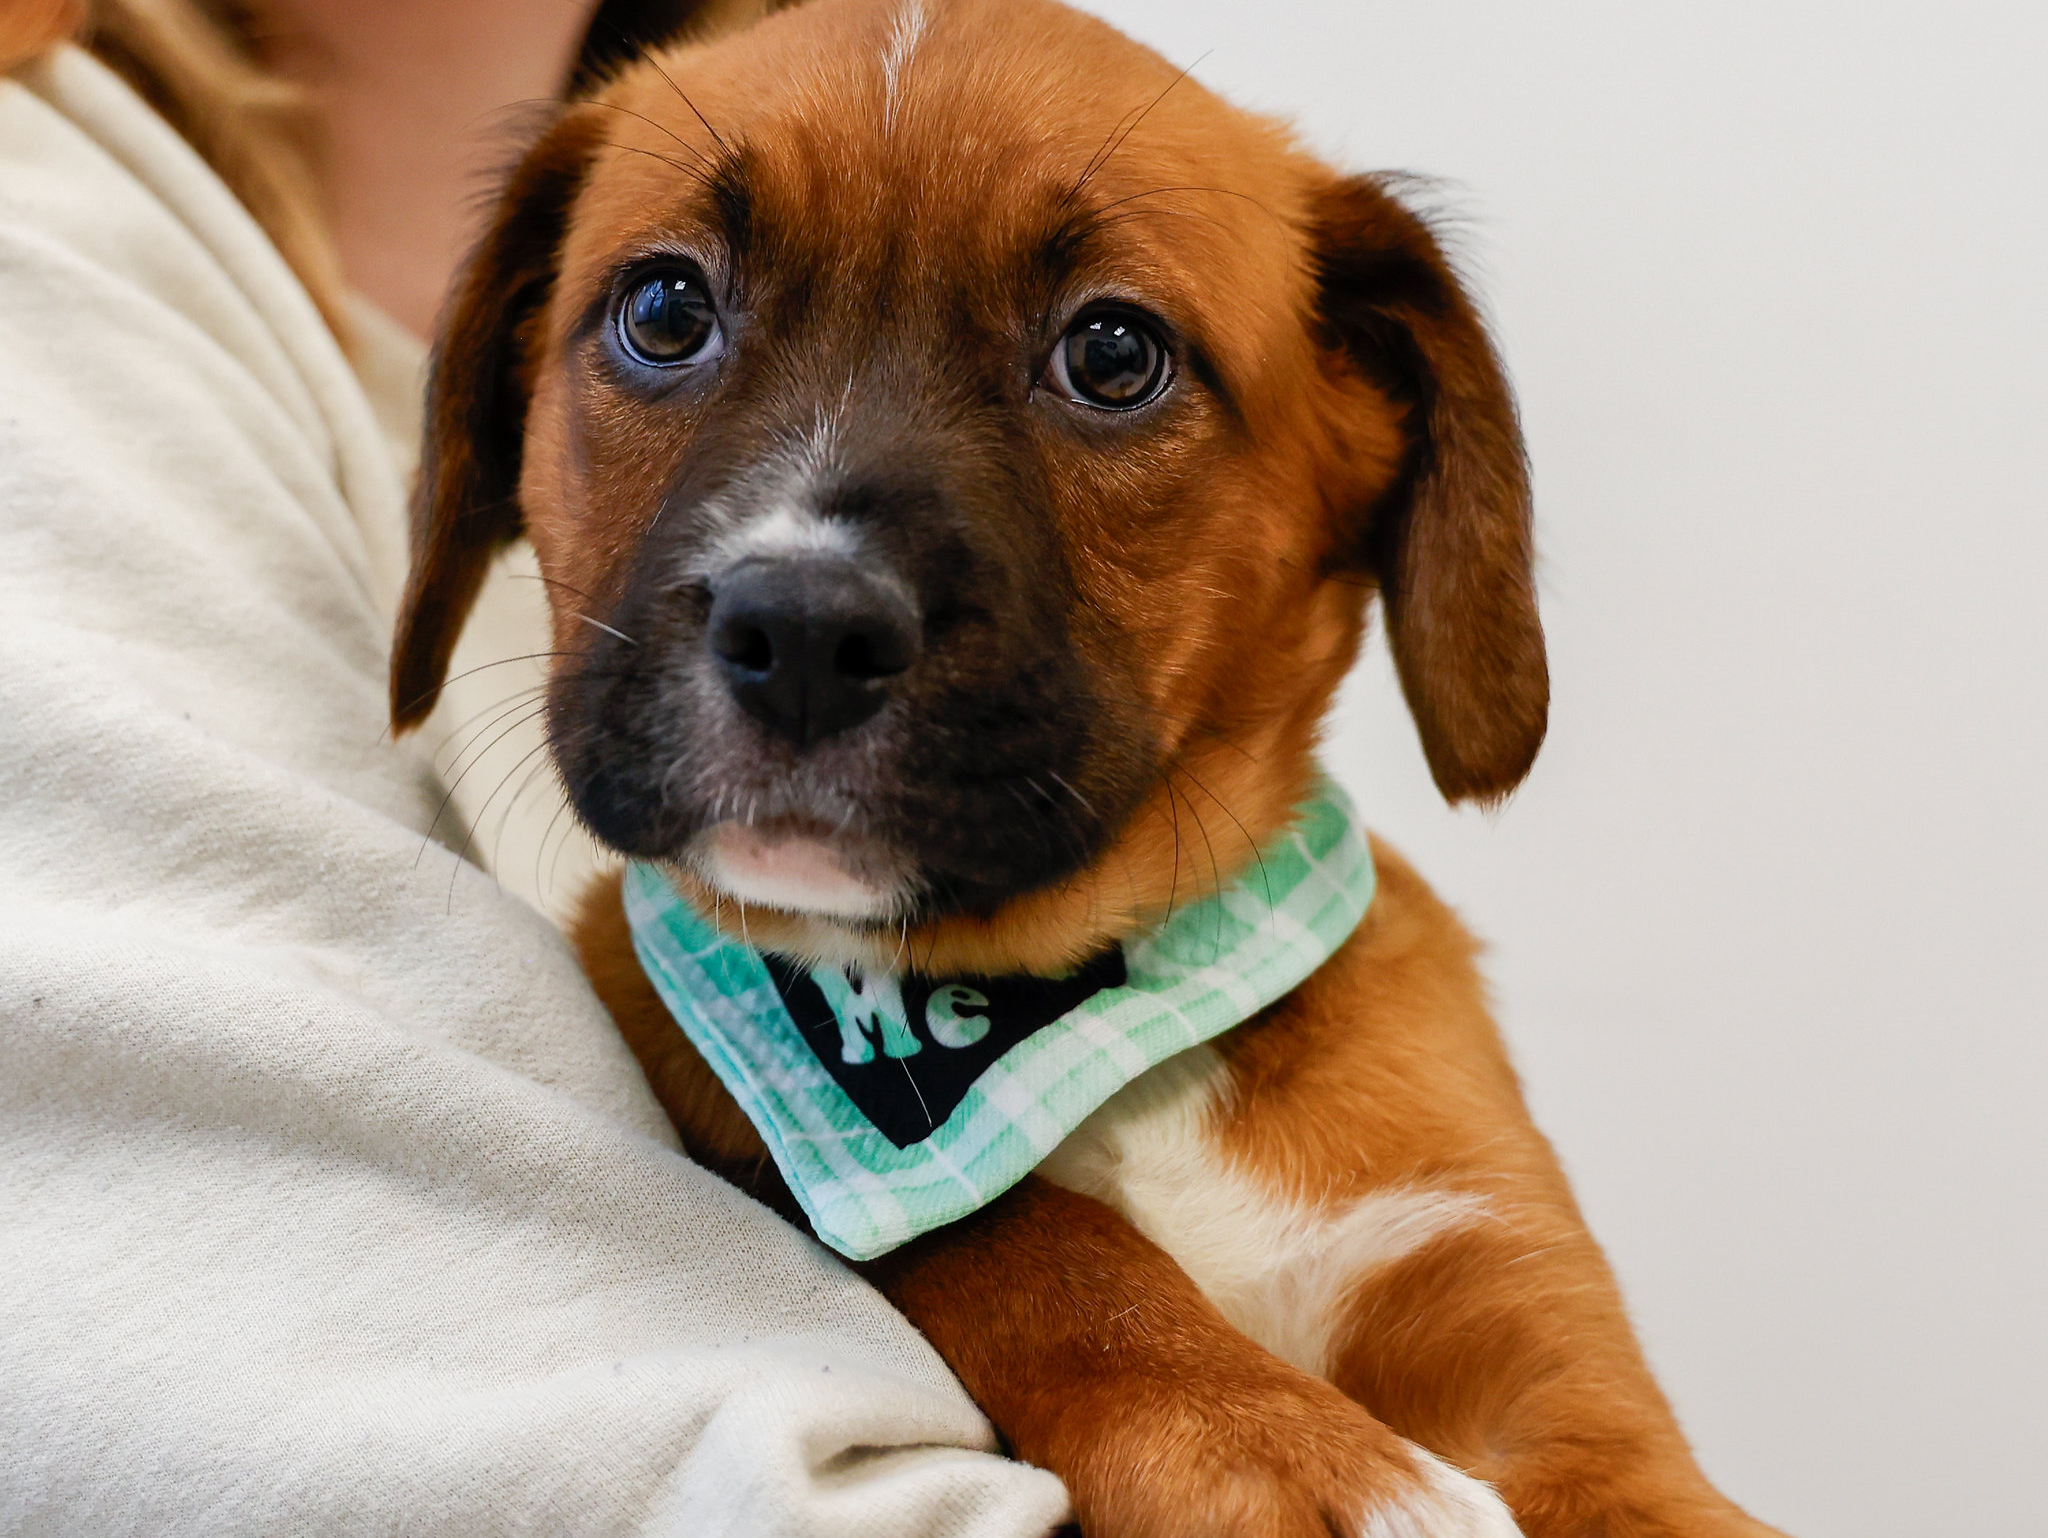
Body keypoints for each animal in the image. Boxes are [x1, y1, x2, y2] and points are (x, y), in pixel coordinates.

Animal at [388, 1, 1790, 1533]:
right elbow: (1010, 1235)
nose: (803, 629)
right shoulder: (733, 1106)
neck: (1072, 1000)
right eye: (663, 311)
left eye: (1113, 353)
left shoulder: (1541, 1350)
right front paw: (1286, 1452)